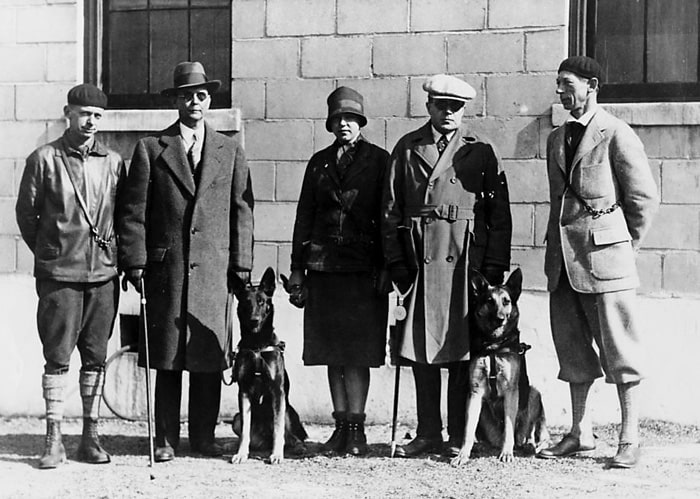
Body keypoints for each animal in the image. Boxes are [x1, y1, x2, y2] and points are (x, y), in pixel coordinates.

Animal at [230, 270, 306, 464]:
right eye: (246, 302)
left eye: (261, 301)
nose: (254, 320)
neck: (257, 345)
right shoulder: (244, 391)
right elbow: (245, 433)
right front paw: (241, 453)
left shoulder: (277, 391)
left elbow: (278, 429)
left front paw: (277, 454)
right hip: (236, 419)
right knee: (252, 437)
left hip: (287, 410)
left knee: (290, 436)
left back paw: (297, 446)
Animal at [452, 268, 548, 466]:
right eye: (490, 301)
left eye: (506, 301)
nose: (500, 318)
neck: (493, 346)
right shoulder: (474, 392)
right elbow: (468, 430)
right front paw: (463, 454)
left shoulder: (511, 392)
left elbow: (509, 429)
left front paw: (506, 453)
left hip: (534, 394)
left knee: (531, 434)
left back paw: (529, 445)